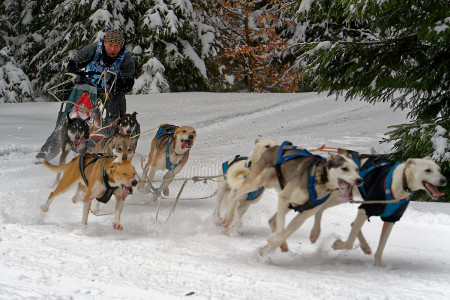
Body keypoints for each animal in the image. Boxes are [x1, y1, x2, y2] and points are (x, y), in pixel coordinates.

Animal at [225, 143, 362, 255]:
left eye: (357, 169)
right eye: (344, 168)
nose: (359, 180)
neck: (317, 179)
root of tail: (274, 147)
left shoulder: (304, 214)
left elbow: (285, 233)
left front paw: (268, 248)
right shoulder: (284, 198)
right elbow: (281, 232)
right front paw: (272, 241)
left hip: (288, 202)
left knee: (272, 220)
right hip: (256, 183)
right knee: (234, 195)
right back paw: (229, 220)